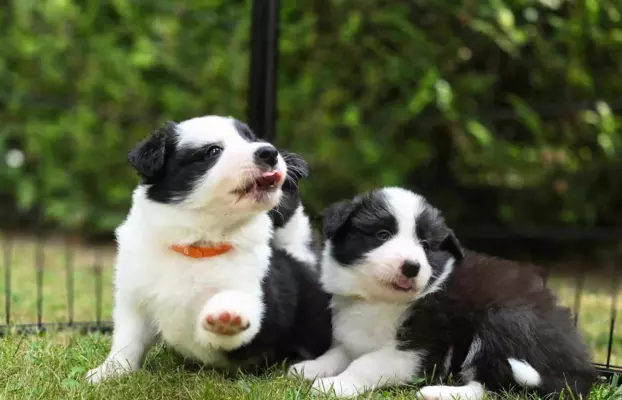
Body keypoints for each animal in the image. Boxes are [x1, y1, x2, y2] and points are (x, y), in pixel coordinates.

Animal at [86, 115, 336, 382]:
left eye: (250, 138)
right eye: (213, 151)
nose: (269, 152)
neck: (198, 246)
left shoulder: (256, 300)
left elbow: (237, 314)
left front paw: (226, 319)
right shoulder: (134, 297)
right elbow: (127, 340)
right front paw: (109, 372)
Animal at [292, 188, 600, 400]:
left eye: (426, 245)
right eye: (382, 235)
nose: (412, 267)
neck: (382, 301)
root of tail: (581, 372)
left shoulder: (420, 350)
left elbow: (366, 363)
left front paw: (335, 385)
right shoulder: (354, 336)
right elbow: (339, 352)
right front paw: (310, 368)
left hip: (506, 319)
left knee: (493, 387)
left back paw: (439, 393)